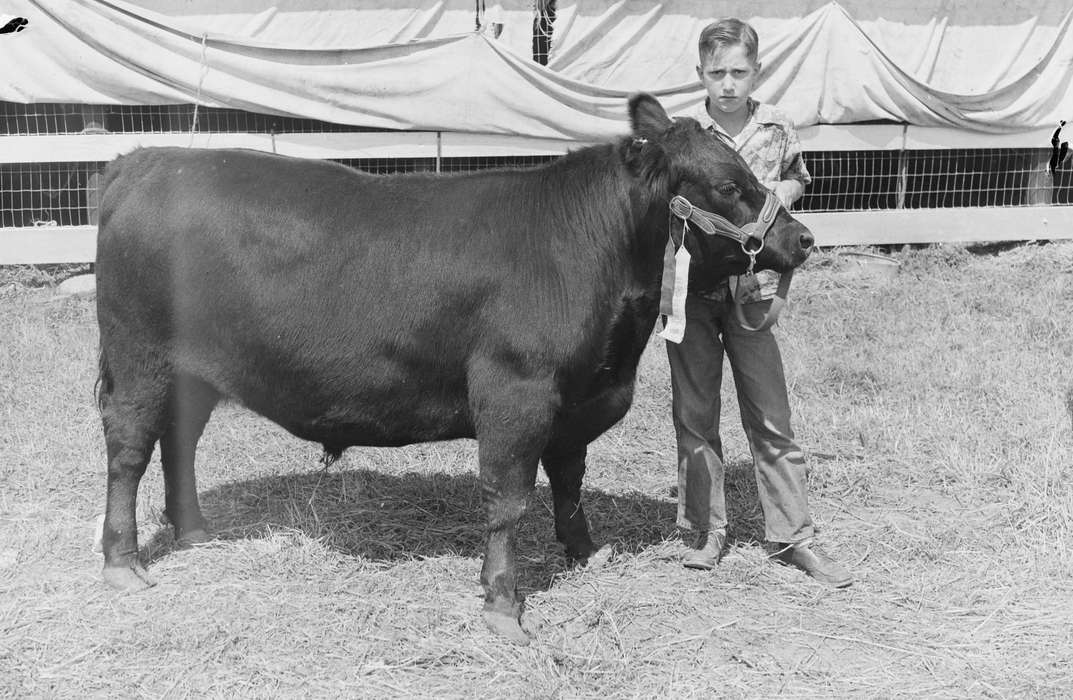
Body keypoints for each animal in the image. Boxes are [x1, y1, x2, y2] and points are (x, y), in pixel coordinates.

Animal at [94, 94, 814, 644]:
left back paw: (193, 530)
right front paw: (502, 605)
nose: (802, 238)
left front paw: (584, 549)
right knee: (129, 450)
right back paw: (123, 561)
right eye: (728, 186)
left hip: (194, 373)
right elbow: (507, 499)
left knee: (178, 442)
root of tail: (144, 161)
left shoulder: (578, 398)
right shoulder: (515, 392)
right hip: (139, 359)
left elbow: (570, 479)